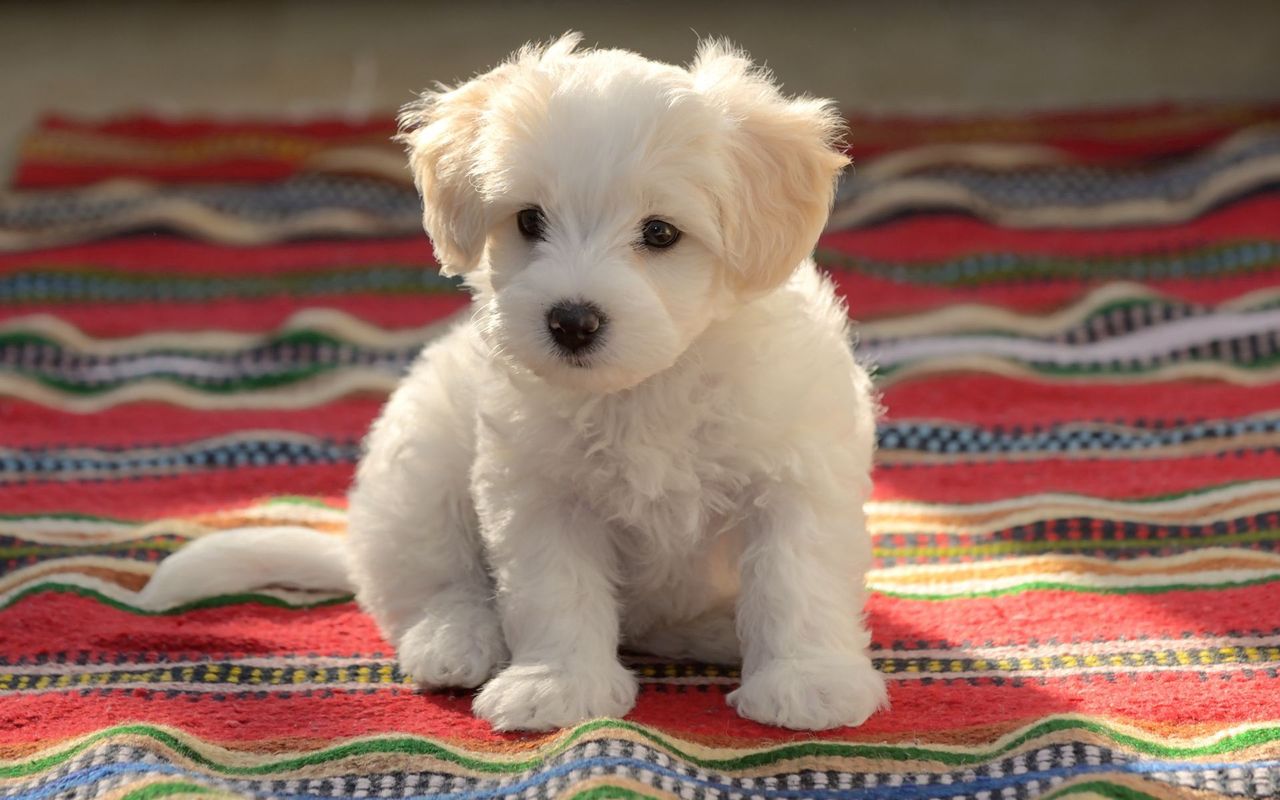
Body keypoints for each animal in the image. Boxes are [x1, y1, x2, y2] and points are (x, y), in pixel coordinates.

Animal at [140, 32, 885, 732]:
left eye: (660, 232)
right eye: (530, 220)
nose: (572, 321)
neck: (647, 386)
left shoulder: (795, 476)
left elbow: (796, 580)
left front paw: (809, 684)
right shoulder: (538, 491)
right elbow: (555, 591)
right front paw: (557, 687)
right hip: (419, 471)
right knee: (430, 584)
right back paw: (456, 640)